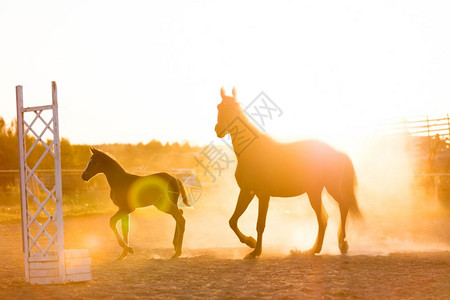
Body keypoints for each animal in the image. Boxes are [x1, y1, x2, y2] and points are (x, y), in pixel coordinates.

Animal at [215, 86, 362, 258]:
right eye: (219, 107)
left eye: (233, 109)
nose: (218, 129)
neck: (252, 153)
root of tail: (338, 152)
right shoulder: (247, 191)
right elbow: (232, 221)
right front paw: (250, 242)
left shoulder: (263, 195)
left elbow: (260, 224)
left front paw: (256, 251)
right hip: (315, 192)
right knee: (324, 218)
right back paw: (312, 250)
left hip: (328, 189)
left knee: (340, 208)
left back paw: (340, 244)